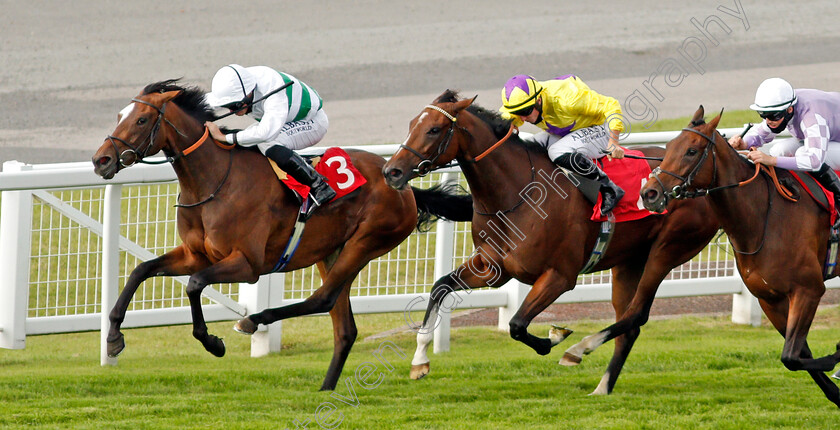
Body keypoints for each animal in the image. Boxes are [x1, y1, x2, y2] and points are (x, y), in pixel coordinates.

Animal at [92, 79, 476, 392]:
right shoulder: (194, 254)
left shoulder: (247, 264)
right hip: (331, 251)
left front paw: (212, 342)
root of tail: (403, 185)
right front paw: (113, 338)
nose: (101, 160)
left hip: (364, 244)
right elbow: (141, 271)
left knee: (322, 299)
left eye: (142, 120)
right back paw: (325, 389)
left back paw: (253, 321)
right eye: (119, 115)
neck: (213, 181)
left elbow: (195, 284)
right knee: (344, 327)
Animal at [384, 90, 720, 394]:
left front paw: (554, 338)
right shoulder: (492, 269)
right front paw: (419, 360)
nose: (392, 171)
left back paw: (580, 353)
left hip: (667, 250)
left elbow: (517, 325)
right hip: (629, 262)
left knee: (636, 314)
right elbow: (440, 286)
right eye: (412, 124)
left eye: (434, 129)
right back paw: (602, 387)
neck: (517, 193)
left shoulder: (559, 276)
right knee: (629, 323)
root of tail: (702, 186)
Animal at [636, 106, 840, 406]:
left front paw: (836, 357)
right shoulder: (770, 298)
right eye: (670, 146)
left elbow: (791, 356)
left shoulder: (809, 289)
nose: (649, 193)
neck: (765, 217)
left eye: (692, 151)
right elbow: (797, 354)